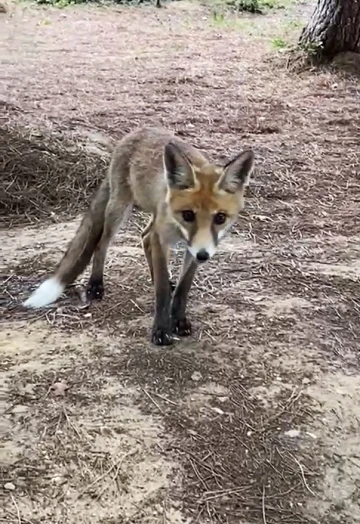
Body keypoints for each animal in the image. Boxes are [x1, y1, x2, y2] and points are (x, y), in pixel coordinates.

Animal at [23, 127, 255, 346]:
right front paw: (161, 330)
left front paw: (179, 320)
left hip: (149, 216)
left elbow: (182, 289)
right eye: (188, 215)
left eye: (220, 218)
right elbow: (161, 291)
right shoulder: (163, 239)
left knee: (144, 236)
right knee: (102, 243)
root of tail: (139, 131)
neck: (177, 228)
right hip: (119, 209)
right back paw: (96, 285)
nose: (203, 256)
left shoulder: (192, 247)